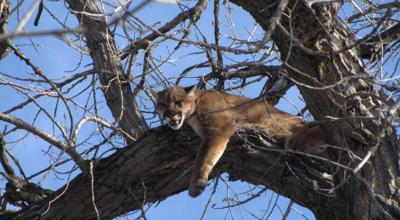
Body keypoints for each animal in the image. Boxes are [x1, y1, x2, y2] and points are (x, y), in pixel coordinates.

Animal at [152, 85, 326, 197]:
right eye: (162, 104)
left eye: (178, 102)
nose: (170, 114)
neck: (196, 104)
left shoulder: (219, 128)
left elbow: (204, 157)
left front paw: (196, 185)